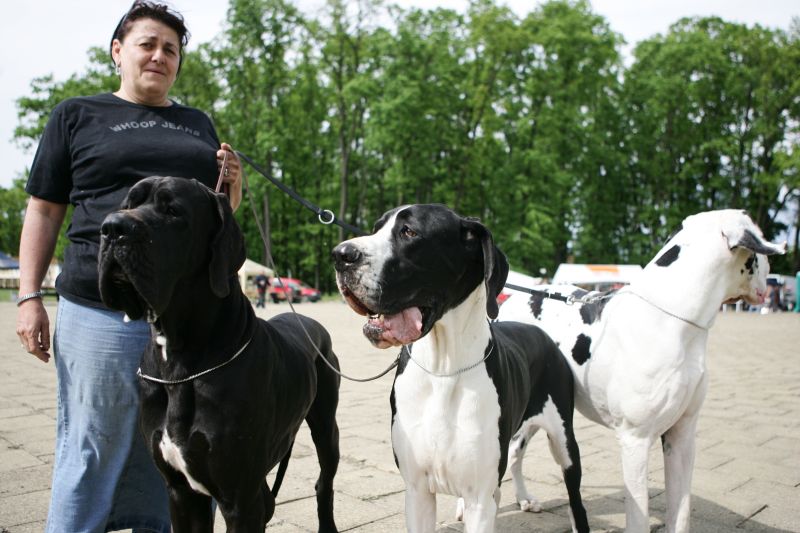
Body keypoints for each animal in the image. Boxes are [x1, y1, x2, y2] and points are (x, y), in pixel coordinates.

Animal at [500, 210, 788, 528]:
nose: (770, 274)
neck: (672, 319)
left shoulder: (682, 435)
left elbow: (681, 513)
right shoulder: (635, 441)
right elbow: (638, 517)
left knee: (515, 451)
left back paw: (523, 497)